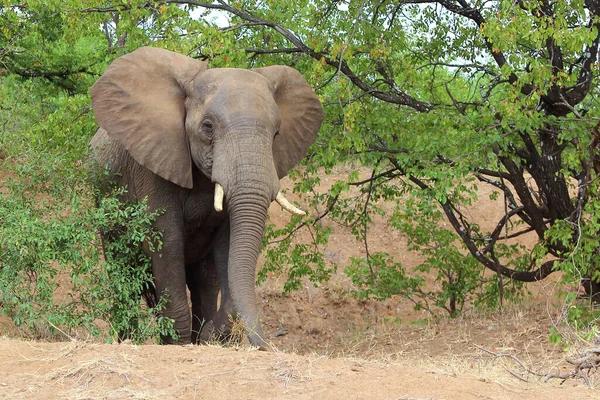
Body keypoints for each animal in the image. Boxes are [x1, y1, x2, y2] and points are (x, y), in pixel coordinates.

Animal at [89, 45, 324, 348]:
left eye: (276, 133)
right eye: (208, 127)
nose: (264, 346)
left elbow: (228, 245)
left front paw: (209, 335)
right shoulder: (153, 163)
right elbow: (167, 240)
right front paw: (180, 344)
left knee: (204, 279)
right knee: (123, 270)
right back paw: (131, 340)